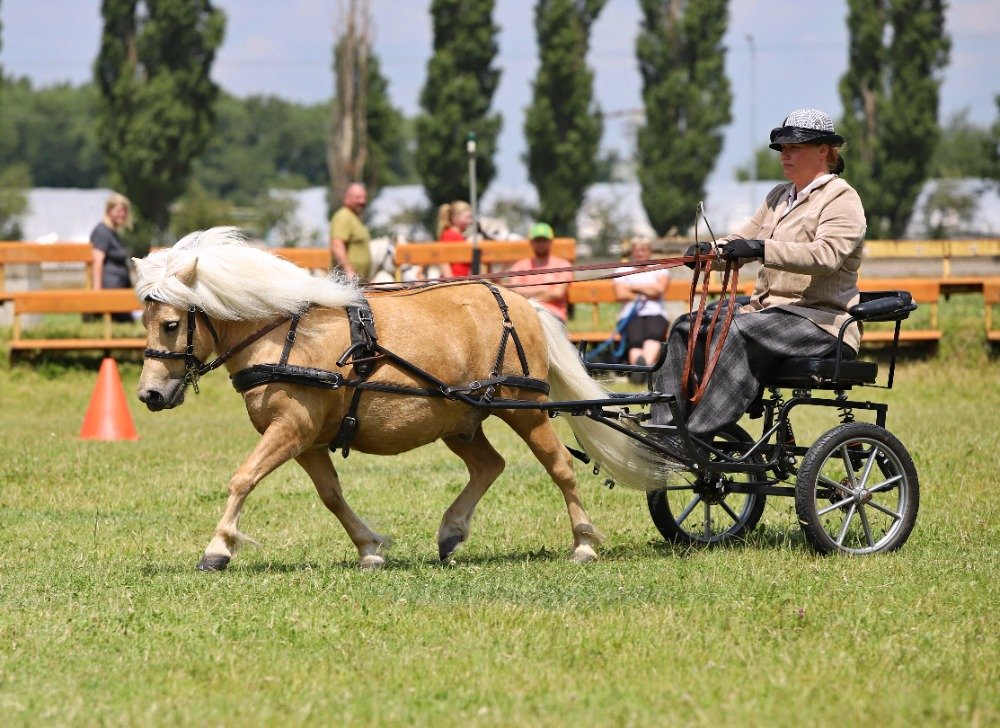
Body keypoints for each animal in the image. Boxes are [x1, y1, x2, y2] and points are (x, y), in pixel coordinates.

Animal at [131, 228, 664, 568]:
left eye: (172, 324)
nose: (149, 394)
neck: (283, 332)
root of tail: (523, 304)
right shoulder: (307, 441)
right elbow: (331, 495)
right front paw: (369, 548)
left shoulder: (291, 429)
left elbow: (242, 478)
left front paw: (217, 549)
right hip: (460, 419)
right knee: (489, 466)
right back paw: (451, 532)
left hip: (524, 410)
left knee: (561, 467)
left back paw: (584, 544)